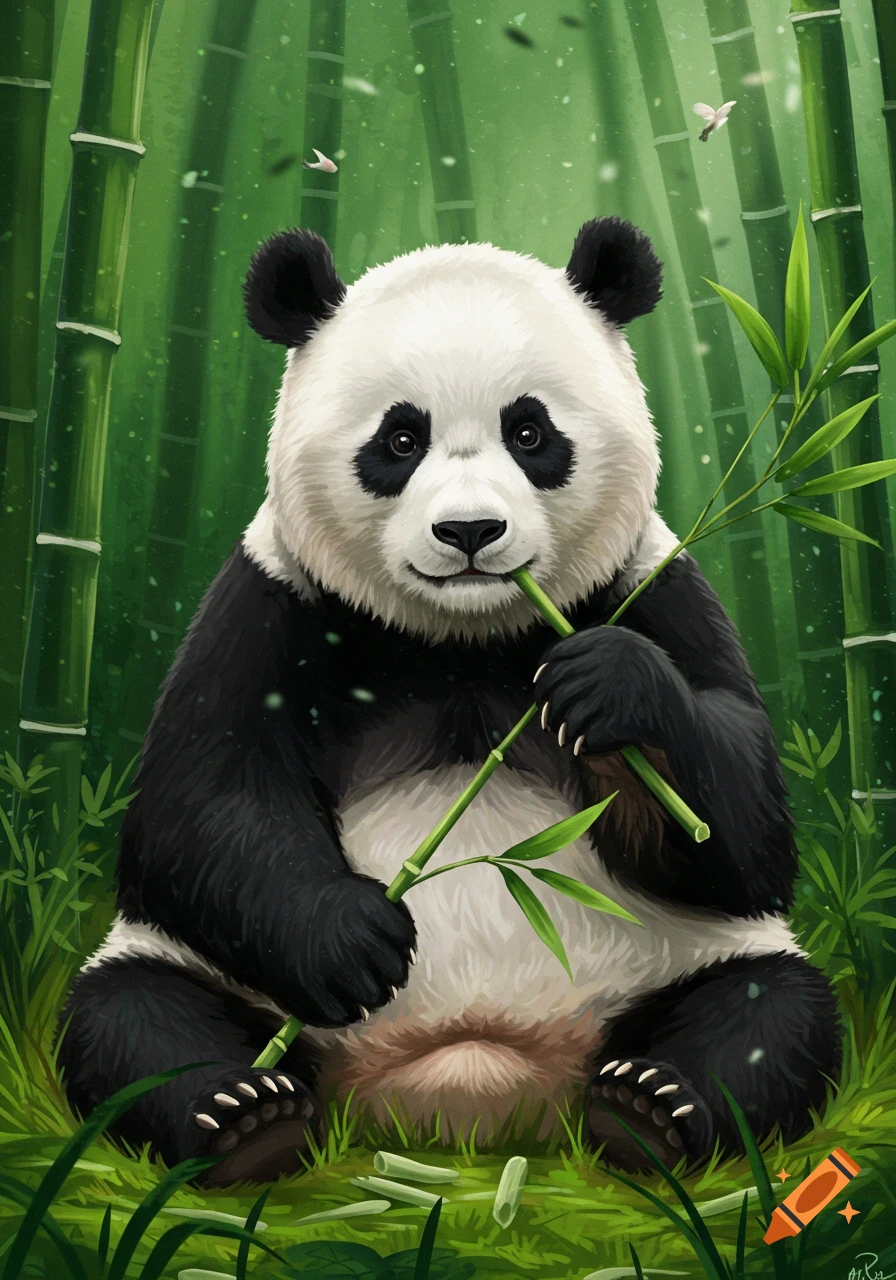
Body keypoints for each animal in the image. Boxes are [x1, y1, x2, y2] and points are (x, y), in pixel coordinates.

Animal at [58, 217, 840, 1187]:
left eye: (531, 431)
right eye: (400, 441)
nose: (470, 532)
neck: (462, 638)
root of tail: (472, 1084)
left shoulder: (650, 587)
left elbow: (742, 831)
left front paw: (613, 689)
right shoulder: (272, 604)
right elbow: (200, 804)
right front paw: (352, 938)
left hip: (681, 960)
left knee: (772, 1010)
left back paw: (651, 1109)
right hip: (212, 979)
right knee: (132, 1015)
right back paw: (244, 1114)